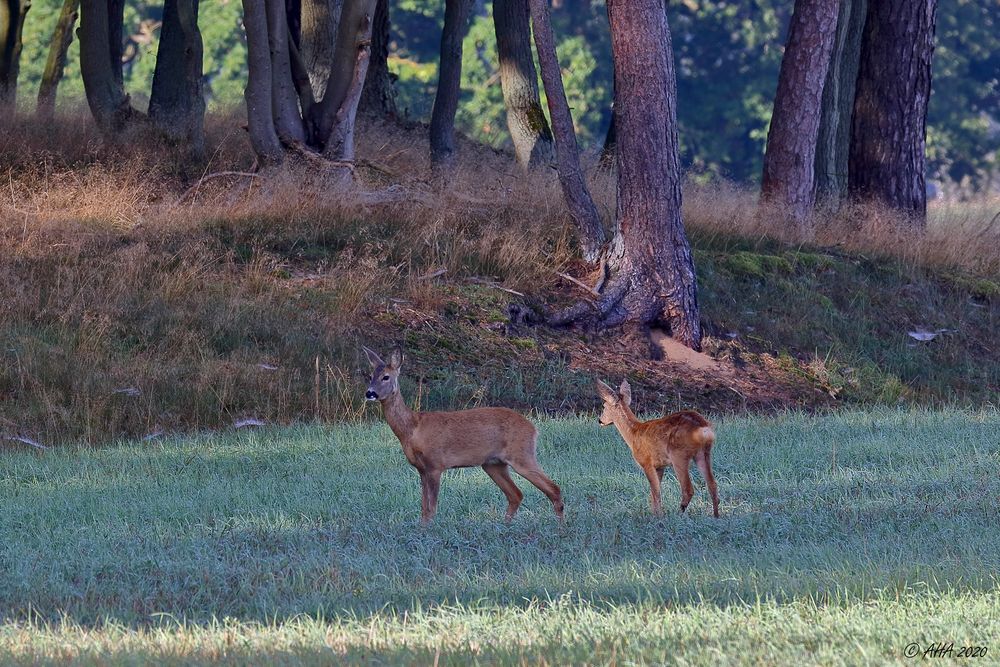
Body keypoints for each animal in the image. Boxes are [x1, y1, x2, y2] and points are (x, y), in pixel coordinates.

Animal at [362, 348, 568, 524]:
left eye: (386, 377)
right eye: (370, 376)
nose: (369, 393)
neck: (413, 429)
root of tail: (533, 428)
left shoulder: (436, 464)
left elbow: (431, 508)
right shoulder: (421, 469)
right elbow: (423, 508)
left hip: (522, 455)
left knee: (553, 489)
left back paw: (560, 528)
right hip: (493, 464)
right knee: (516, 494)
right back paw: (505, 526)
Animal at [592, 380, 720, 516]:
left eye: (604, 406)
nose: (600, 420)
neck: (633, 434)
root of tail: (704, 428)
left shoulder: (646, 462)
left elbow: (656, 491)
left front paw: (657, 516)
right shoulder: (659, 466)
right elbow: (654, 492)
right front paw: (654, 512)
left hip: (679, 454)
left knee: (688, 489)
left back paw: (679, 513)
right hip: (704, 453)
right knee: (712, 484)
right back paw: (716, 516)